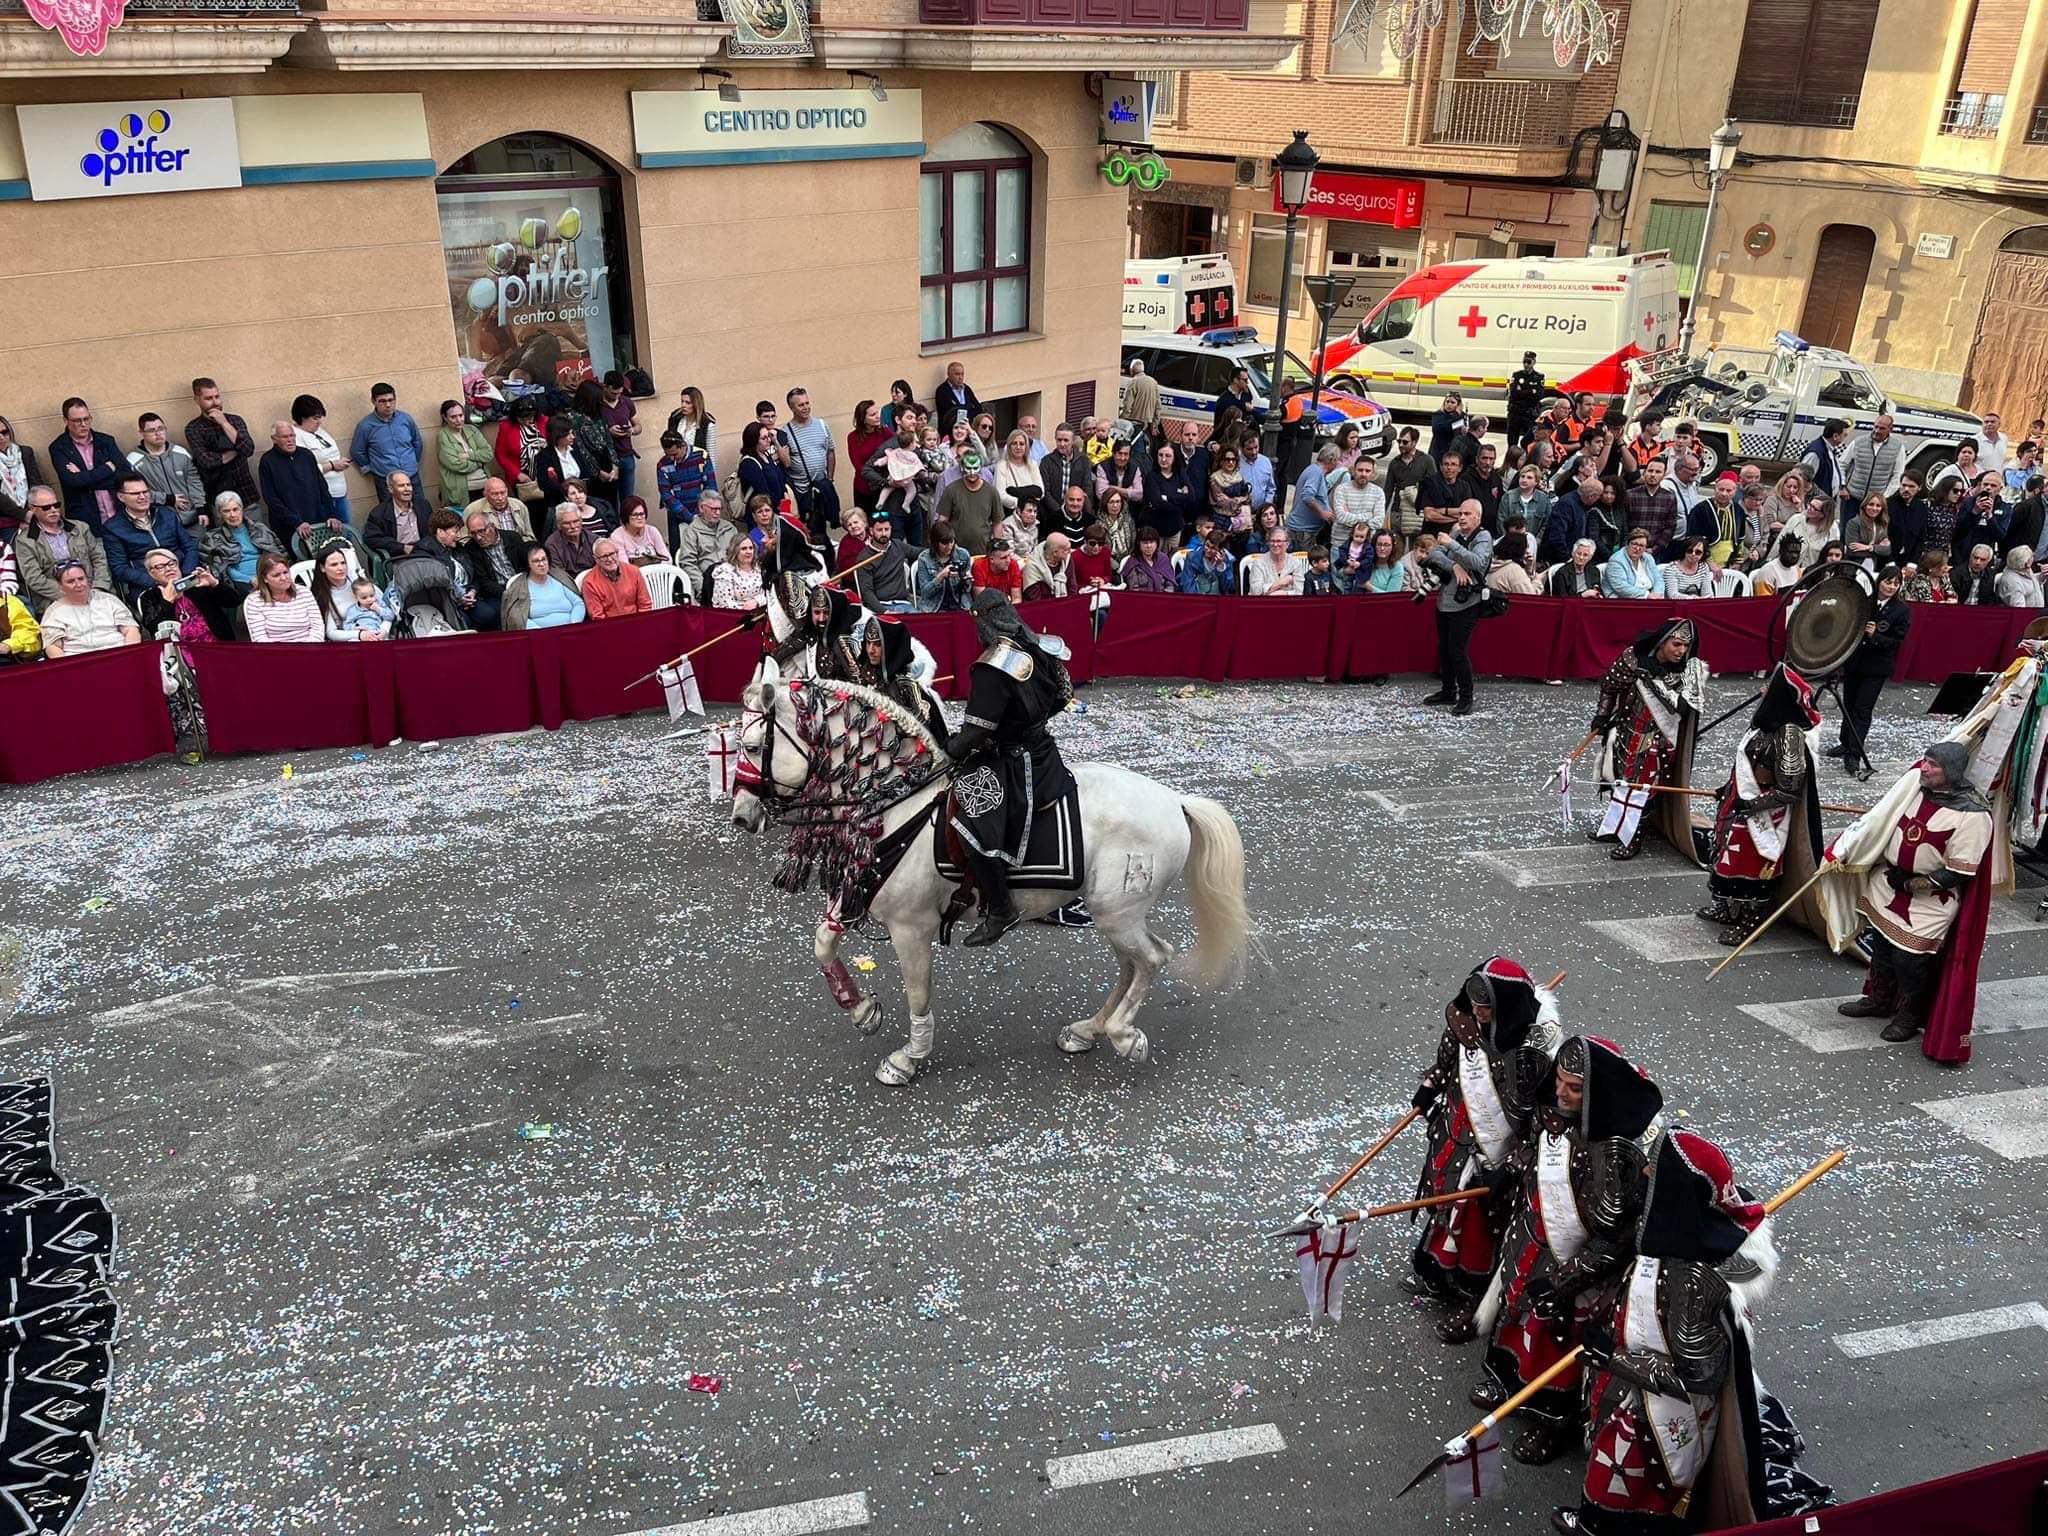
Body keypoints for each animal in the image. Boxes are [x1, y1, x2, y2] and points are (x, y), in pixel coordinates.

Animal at [729, 671, 1253, 1081]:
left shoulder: (911, 927)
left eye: (752, 746)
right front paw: (862, 1011)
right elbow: (823, 942)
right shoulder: (862, 889)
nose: (741, 817)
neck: (899, 804)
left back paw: (1122, 1034)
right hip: (1114, 915)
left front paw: (909, 1057)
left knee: (1152, 958)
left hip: (1117, 913)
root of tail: (1176, 801)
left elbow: (918, 993)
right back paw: (1088, 1030)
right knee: (1133, 964)